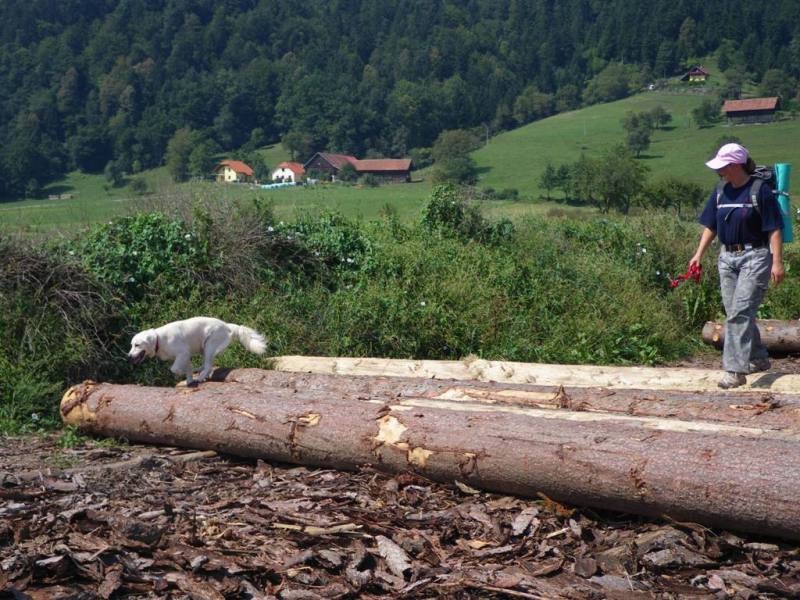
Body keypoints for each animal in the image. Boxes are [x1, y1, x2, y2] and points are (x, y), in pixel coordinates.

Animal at [126, 316, 268, 386]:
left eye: (137, 345)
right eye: (131, 345)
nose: (129, 357)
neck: (159, 339)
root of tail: (227, 326)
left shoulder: (183, 353)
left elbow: (174, 369)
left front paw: (189, 377)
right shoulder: (185, 356)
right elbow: (187, 368)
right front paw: (189, 380)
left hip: (209, 346)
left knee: (208, 365)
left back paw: (200, 377)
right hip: (204, 349)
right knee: (208, 365)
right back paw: (200, 373)